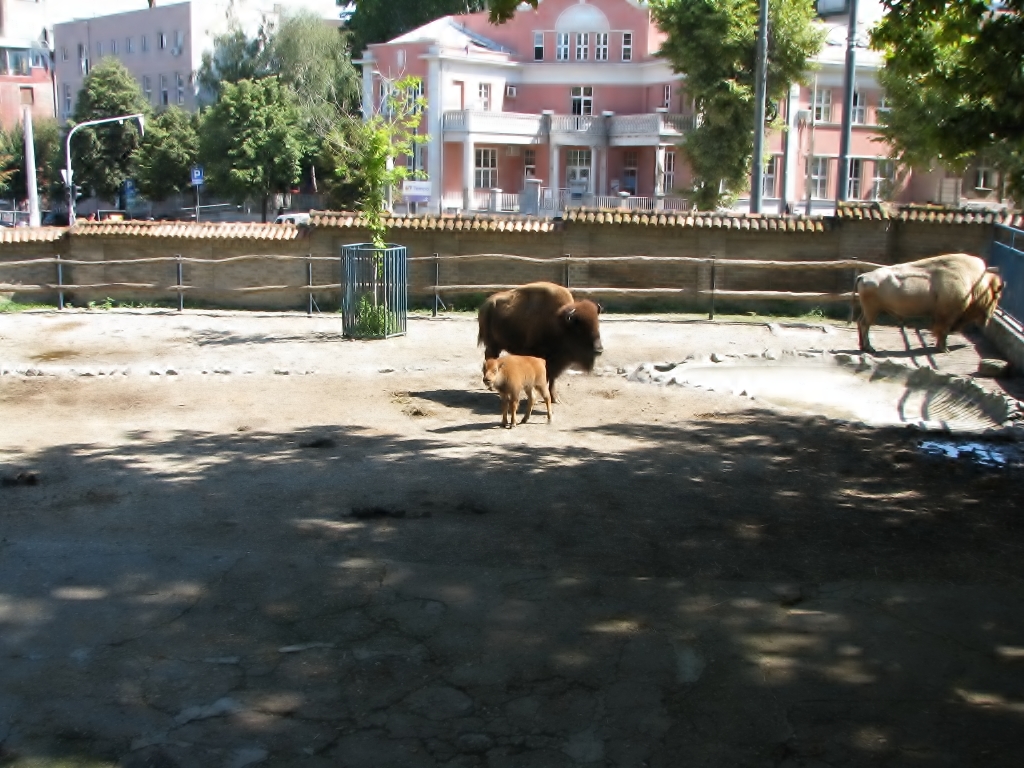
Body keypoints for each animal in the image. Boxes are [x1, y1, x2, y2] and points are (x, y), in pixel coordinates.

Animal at [854, 253, 1004, 353]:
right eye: (996, 296)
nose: (989, 317)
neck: (975, 283)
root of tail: (864, 276)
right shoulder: (948, 315)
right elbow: (943, 330)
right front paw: (944, 349)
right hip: (872, 310)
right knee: (865, 324)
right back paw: (869, 348)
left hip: (868, 310)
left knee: (861, 323)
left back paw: (863, 346)